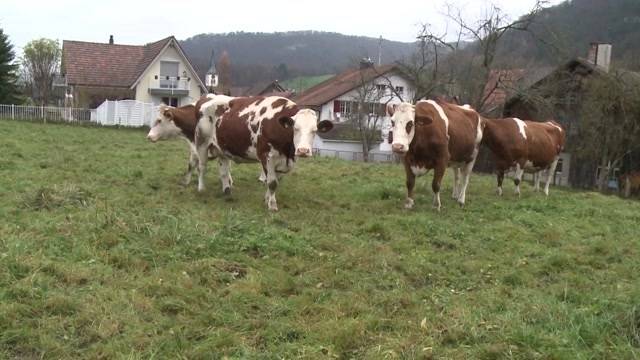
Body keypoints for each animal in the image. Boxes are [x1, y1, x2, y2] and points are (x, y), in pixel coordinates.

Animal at [204, 96, 336, 211]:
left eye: (314, 131)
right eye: (295, 128)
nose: (303, 150)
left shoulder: (283, 163)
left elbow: (274, 181)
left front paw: (267, 199)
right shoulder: (267, 157)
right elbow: (272, 183)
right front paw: (272, 205)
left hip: (222, 151)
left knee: (224, 171)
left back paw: (227, 189)